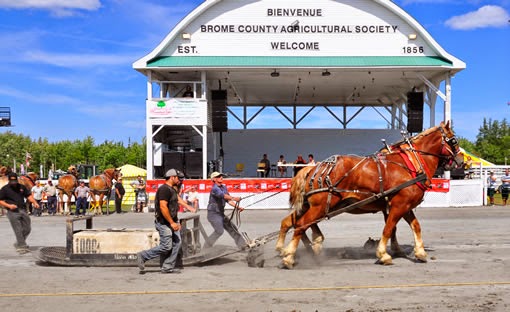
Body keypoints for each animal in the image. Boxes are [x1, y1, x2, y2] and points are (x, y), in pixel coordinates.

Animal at [274, 121, 462, 268]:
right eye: (453, 140)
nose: (461, 161)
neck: (411, 163)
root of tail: (314, 168)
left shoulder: (404, 205)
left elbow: (415, 226)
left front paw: (419, 252)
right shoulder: (399, 205)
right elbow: (388, 228)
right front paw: (383, 254)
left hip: (311, 205)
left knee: (290, 222)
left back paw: (290, 248)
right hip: (321, 206)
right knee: (300, 225)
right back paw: (290, 256)